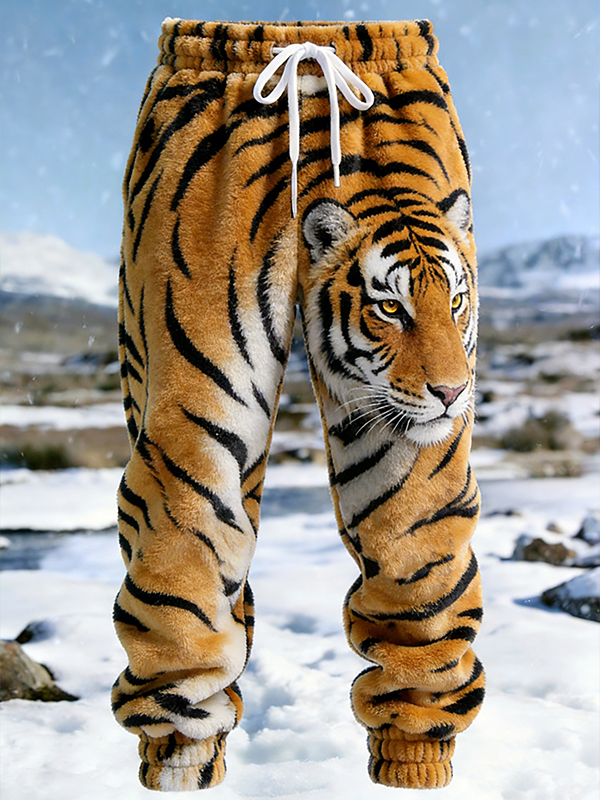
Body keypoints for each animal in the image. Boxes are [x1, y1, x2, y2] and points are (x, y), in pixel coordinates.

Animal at [112, 18, 484, 792]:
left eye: (456, 301)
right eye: (390, 308)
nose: (452, 392)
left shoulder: (408, 455)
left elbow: (418, 568)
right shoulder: (198, 429)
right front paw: (182, 758)